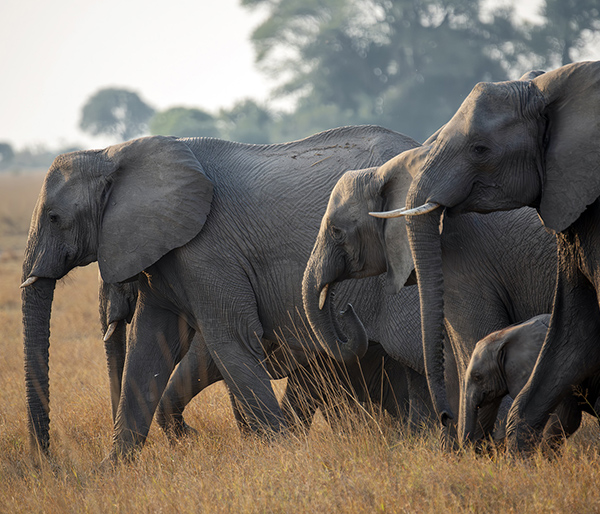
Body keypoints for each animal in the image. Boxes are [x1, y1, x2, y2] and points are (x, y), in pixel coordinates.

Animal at [23, 125, 432, 460]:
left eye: (54, 218)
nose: (47, 460)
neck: (113, 154)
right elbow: (149, 344)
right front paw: (115, 470)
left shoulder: (208, 252)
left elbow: (228, 342)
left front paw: (282, 458)